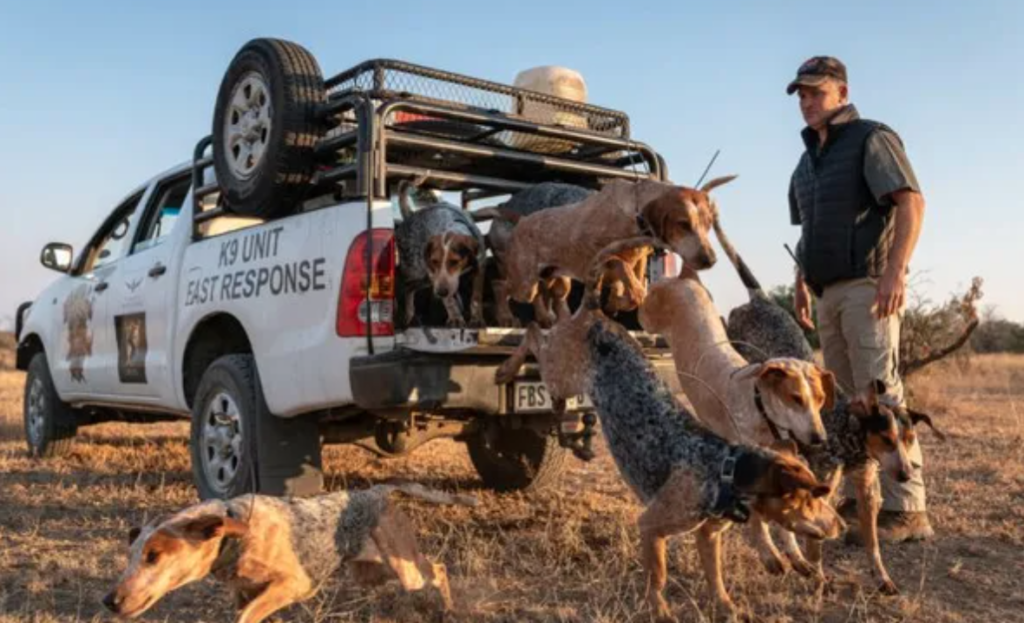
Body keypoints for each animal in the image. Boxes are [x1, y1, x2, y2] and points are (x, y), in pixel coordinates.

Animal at [101, 481, 477, 623]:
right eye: (130, 556)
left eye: (153, 556)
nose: (109, 600)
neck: (237, 537)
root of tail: (378, 491)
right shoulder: (244, 593)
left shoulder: (295, 584)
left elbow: (247, 615)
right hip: (371, 571)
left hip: (403, 568)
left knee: (438, 569)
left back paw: (449, 608)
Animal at [499, 174, 733, 323]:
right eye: (683, 224)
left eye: (709, 224)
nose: (710, 260)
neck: (634, 217)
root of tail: (521, 221)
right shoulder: (598, 255)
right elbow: (627, 276)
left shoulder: (638, 259)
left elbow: (632, 288)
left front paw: (615, 303)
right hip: (523, 283)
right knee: (502, 286)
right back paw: (507, 315)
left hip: (555, 280)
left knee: (541, 293)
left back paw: (546, 317)